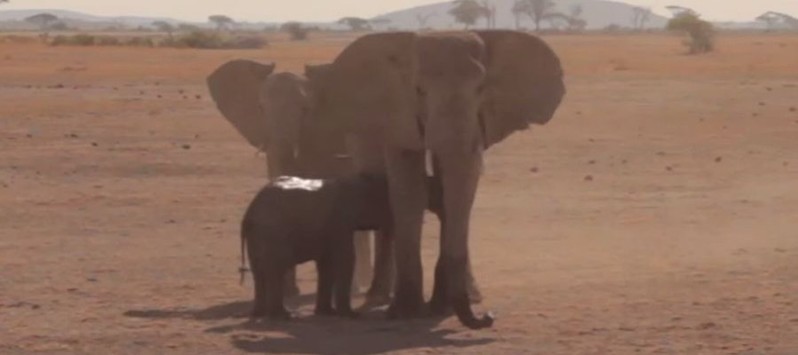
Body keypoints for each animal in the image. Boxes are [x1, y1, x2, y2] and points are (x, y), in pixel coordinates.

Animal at [241, 172, 396, 320]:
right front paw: (351, 315)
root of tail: (249, 212)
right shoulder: (339, 223)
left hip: (257, 236)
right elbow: (345, 259)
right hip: (273, 234)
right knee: (276, 269)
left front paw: (327, 313)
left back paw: (260, 314)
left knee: (259, 272)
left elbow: (326, 264)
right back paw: (283, 316)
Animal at [310, 30, 564, 330]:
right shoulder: (399, 118)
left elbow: (458, 191)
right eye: (419, 90)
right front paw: (407, 313)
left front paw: (440, 309)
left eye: (481, 89)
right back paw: (379, 299)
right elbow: (410, 192)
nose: (489, 317)